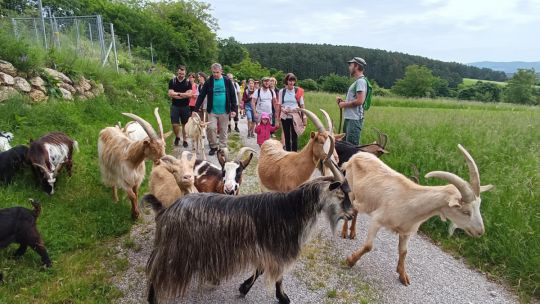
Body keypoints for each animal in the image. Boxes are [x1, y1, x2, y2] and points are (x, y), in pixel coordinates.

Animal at [143, 159, 354, 304]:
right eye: (341, 194)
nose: (351, 215)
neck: (292, 209)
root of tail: (165, 210)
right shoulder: (277, 249)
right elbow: (277, 276)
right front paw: (282, 297)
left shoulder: (265, 249)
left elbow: (260, 269)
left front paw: (244, 288)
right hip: (175, 251)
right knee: (156, 274)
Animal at [342, 144, 494, 284]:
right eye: (465, 211)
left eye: (478, 207)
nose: (480, 232)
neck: (411, 200)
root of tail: (357, 155)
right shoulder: (377, 219)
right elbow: (368, 246)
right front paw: (350, 260)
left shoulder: (406, 231)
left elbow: (404, 252)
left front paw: (403, 275)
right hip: (351, 189)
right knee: (350, 208)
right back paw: (344, 232)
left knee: (355, 210)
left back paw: (352, 232)